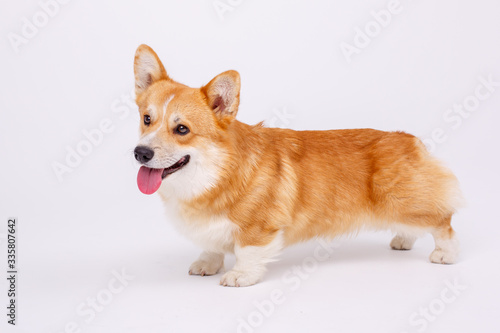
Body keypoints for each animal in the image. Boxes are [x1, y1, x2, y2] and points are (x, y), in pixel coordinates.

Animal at [132, 44, 460, 286]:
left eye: (182, 129)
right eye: (147, 119)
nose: (140, 153)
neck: (213, 173)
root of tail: (411, 140)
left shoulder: (259, 228)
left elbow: (247, 252)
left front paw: (239, 275)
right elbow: (212, 245)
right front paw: (207, 263)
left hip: (405, 202)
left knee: (442, 222)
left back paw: (445, 254)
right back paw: (402, 240)